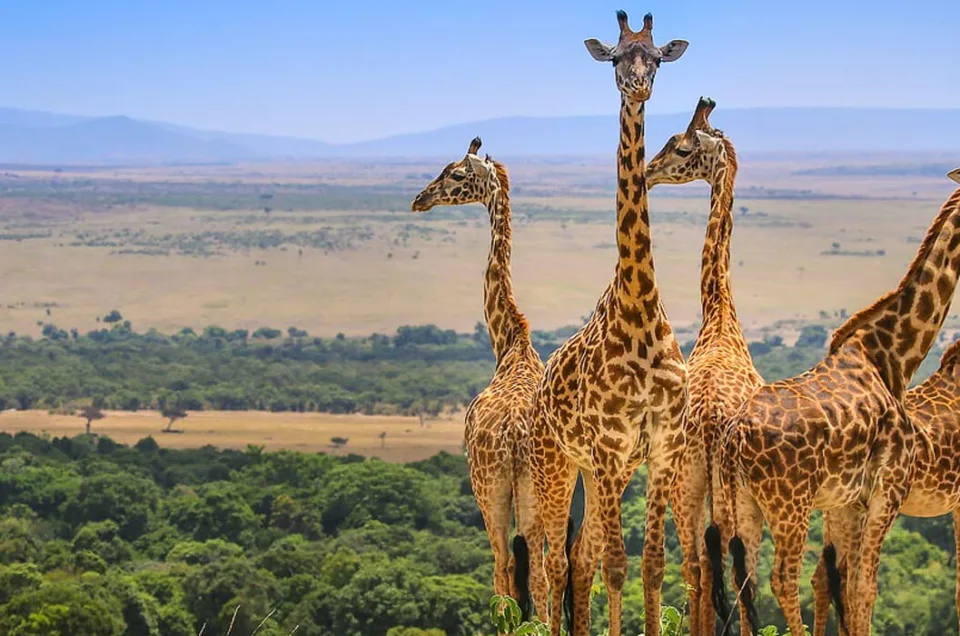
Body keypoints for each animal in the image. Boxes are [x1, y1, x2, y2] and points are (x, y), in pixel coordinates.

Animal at [411, 137, 548, 621]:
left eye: (454, 174)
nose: (420, 199)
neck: (510, 344)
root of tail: (514, 438)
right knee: (546, 572)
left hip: (491, 493)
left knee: (504, 569)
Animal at [527, 11, 689, 636]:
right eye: (619, 57)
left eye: (658, 57)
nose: (638, 87)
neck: (639, 309)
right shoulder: (610, 449)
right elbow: (618, 567)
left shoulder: (662, 447)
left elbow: (651, 566)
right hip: (562, 465)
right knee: (558, 560)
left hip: (601, 475)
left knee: (581, 557)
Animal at [714, 169, 960, 636]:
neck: (890, 356)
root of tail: (734, 437)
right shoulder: (887, 491)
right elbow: (865, 588)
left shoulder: (850, 502)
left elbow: (847, 584)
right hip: (790, 505)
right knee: (781, 578)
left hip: (741, 501)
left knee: (744, 579)